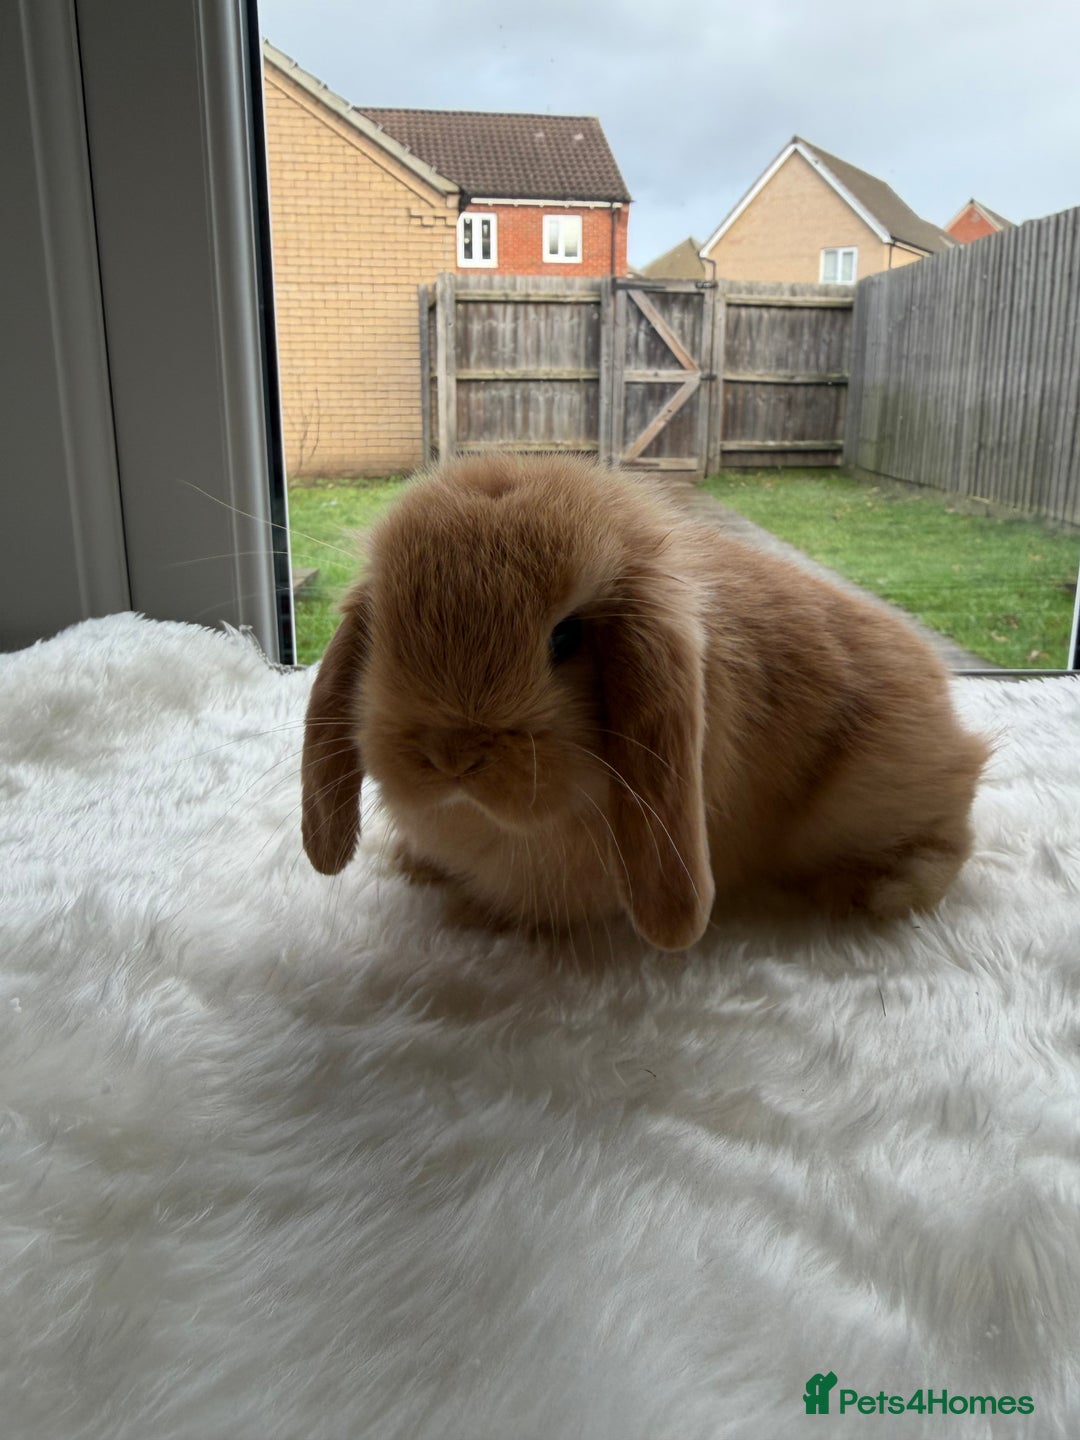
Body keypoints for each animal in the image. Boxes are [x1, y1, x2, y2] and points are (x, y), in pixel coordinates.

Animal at [301, 454, 988, 951]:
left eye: (566, 638)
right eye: (385, 631)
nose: (452, 756)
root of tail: (953, 724)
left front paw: (474, 913)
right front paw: (416, 866)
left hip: (880, 791)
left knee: (950, 841)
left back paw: (870, 891)